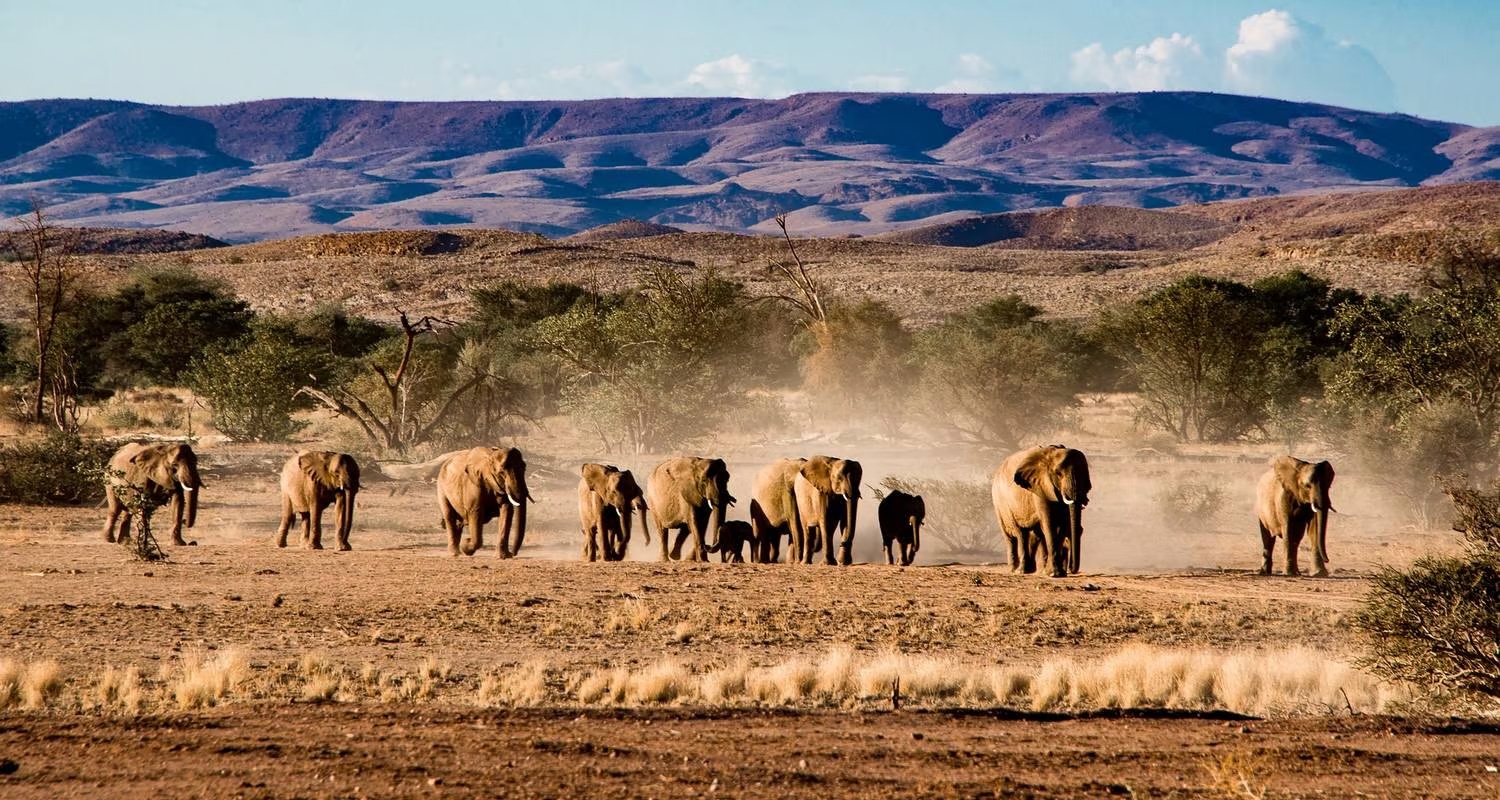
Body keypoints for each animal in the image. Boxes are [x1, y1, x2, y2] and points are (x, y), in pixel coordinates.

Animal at [996, 447, 1092, 576]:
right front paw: (1054, 574)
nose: (1072, 569)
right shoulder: (1040, 488)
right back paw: (1018, 570)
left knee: (1032, 534)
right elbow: (1049, 523)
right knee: (1018, 533)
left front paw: (1058, 573)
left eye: (1084, 475)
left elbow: (1061, 524)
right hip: (1001, 503)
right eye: (1058, 474)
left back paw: (1030, 570)